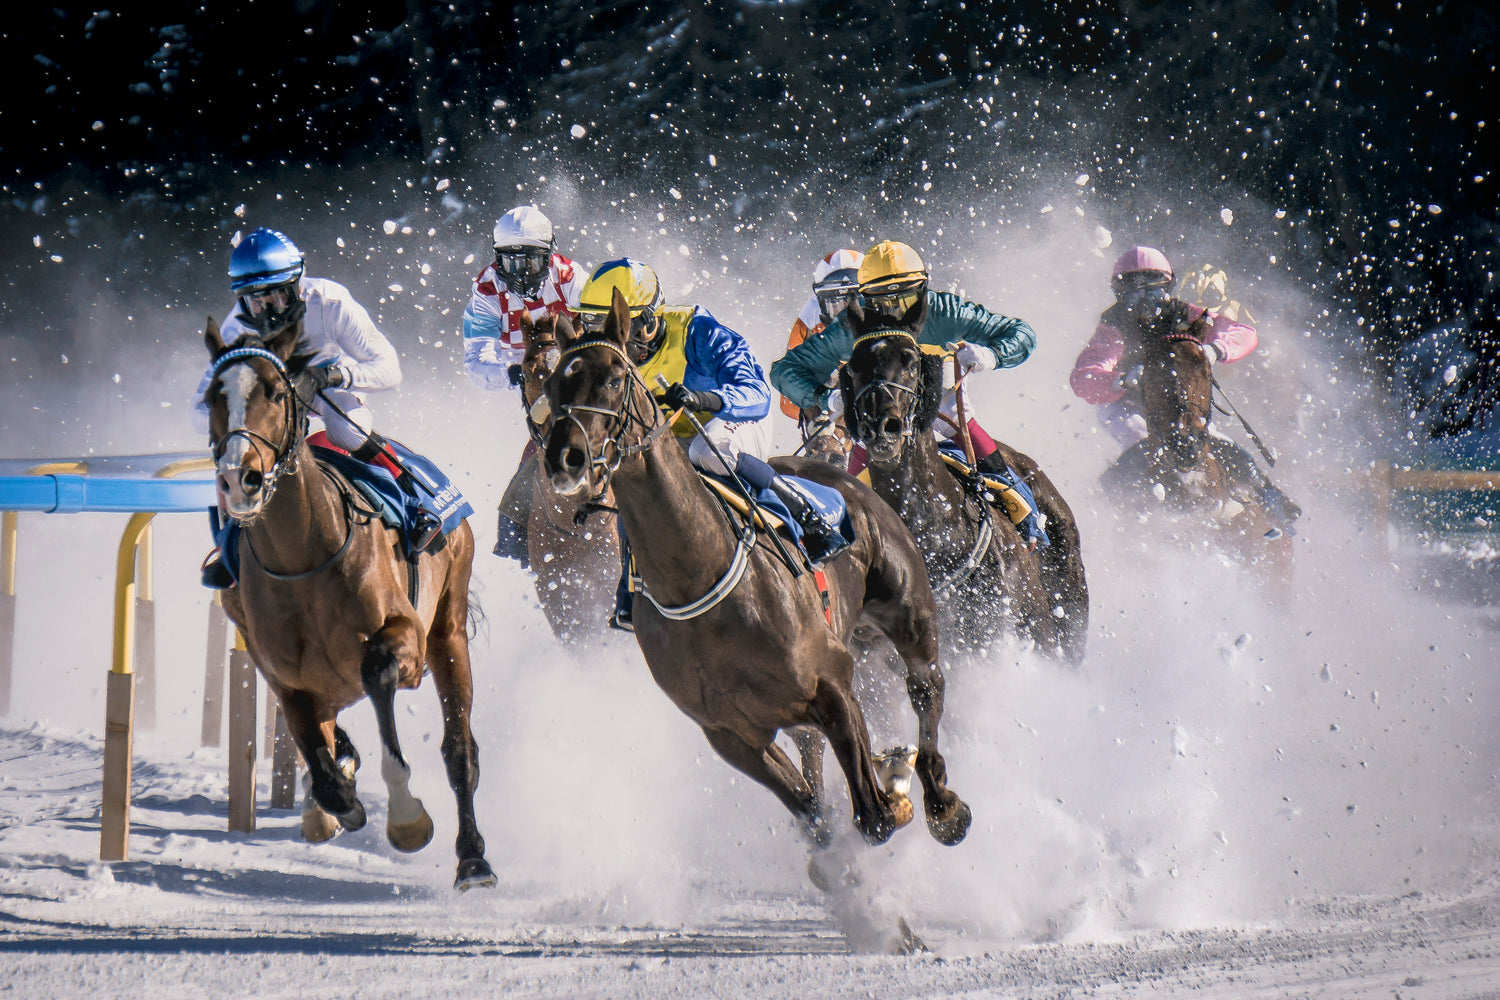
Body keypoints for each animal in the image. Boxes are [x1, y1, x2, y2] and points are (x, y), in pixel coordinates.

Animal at [202, 316, 495, 887]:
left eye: (275, 391)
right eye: (210, 397)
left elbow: (377, 674)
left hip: (448, 628)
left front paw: (406, 818)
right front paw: (337, 797)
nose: (237, 478)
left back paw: (473, 859)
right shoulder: (286, 677)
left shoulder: (405, 639)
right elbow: (321, 765)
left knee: (459, 751)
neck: (302, 559)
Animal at [540, 287, 972, 863]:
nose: (563, 458)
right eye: (551, 384)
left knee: (927, 686)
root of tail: (846, 472)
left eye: (614, 377)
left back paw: (940, 801)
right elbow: (814, 813)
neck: (700, 579)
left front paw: (895, 786)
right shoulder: (731, 734)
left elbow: (875, 814)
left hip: (909, 611)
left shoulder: (831, 683)